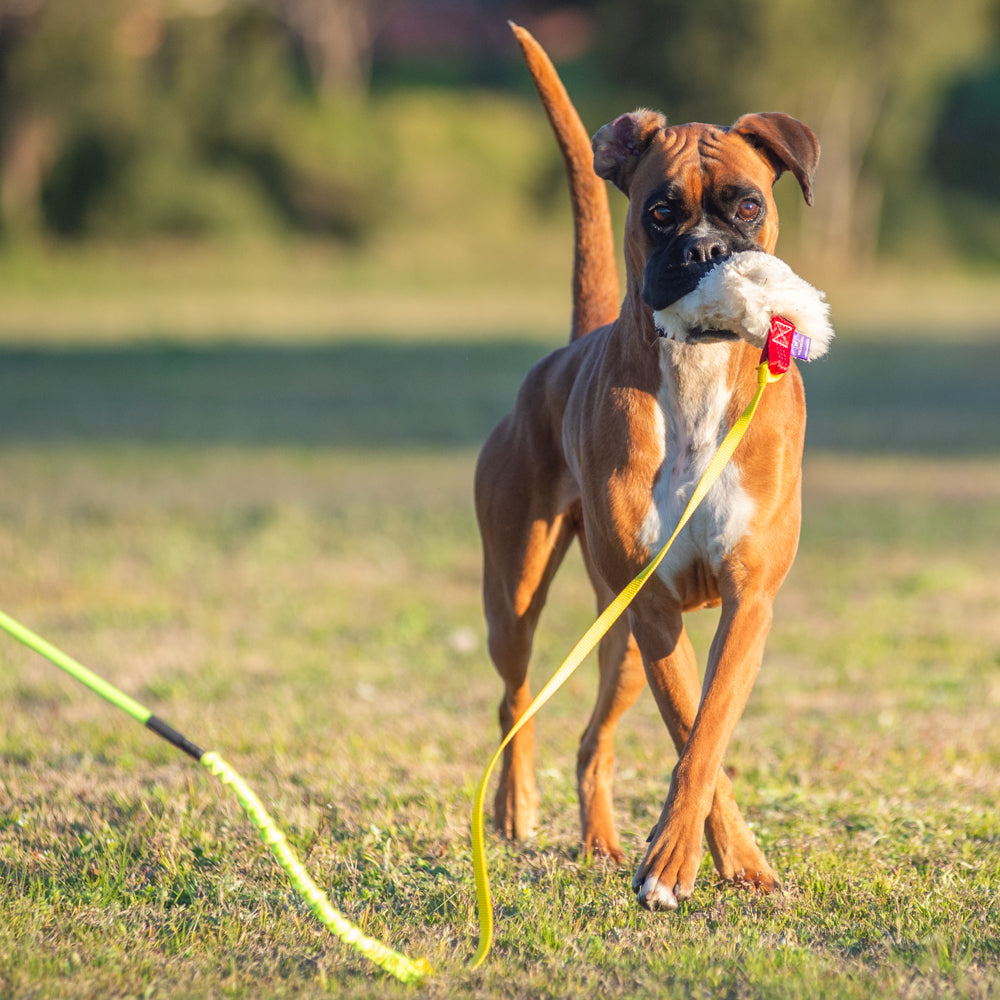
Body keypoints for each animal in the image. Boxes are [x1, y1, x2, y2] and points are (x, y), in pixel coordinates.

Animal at [476, 27, 820, 912]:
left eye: (747, 205)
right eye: (660, 211)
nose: (705, 249)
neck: (696, 374)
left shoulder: (746, 601)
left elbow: (705, 737)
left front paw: (721, 862)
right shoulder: (659, 612)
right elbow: (692, 727)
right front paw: (684, 861)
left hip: (618, 641)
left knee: (593, 739)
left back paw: (599, 842)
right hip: (520, 597)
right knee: (517, 699)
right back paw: (515, 807)